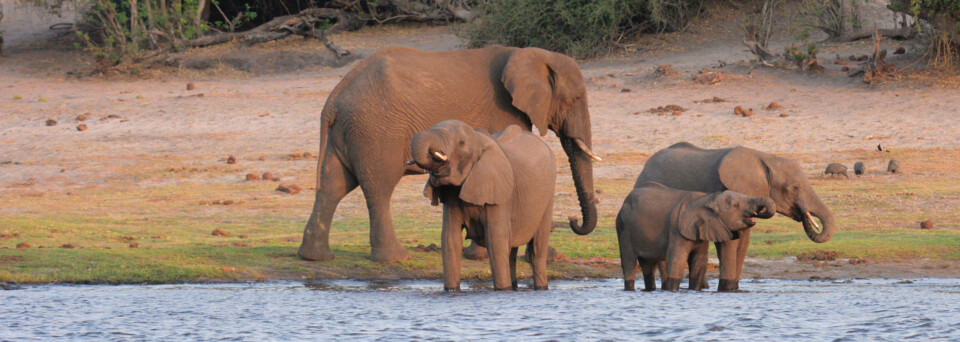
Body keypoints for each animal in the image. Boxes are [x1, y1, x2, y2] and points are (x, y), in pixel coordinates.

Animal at [300, 45, 600, 262]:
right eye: (575, 99)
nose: (572, 220)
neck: (535, 54)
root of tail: (334, 97)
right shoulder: (503, 113)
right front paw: (483, 255)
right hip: (375, 131)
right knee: (379, 189)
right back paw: (395, 259)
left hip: (348, 131)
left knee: (333, 186)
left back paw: (315, 257)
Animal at [408, 120, 560, 292]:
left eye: (461, 143)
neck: (478, 139)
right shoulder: (451, 195)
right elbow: (450, 239)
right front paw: (451, 291)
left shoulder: (500, 195)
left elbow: (496, 241)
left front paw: (502, 290)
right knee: (511, 251)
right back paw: (514, 287)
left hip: (548, 196)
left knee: (537, 249)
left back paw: (540, 288)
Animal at [616, 182, 780, 292]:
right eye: (736, 205)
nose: (759, 211)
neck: (708, 198)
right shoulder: (677, 229)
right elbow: (677, 259)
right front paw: (673, 291)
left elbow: (700, 261)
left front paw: (694, 290)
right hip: (623, 228)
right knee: (629, 262)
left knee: (648, 266)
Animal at [640, 142, 836, 292]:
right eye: (794, 188)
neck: (767, 158)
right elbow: (729, 242)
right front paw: (726, 289)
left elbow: (743, 242)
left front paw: (734, 288)